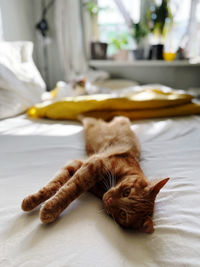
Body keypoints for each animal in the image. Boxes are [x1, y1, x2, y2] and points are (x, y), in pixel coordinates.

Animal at [21, 116, 169, 233]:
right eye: (127, 192)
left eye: (123, 214)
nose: (109, 200)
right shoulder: (92, 163)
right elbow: (60, 186)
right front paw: (34, 203)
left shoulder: (82, 166)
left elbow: (65, 187)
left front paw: (48, 209)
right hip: (98, 123)